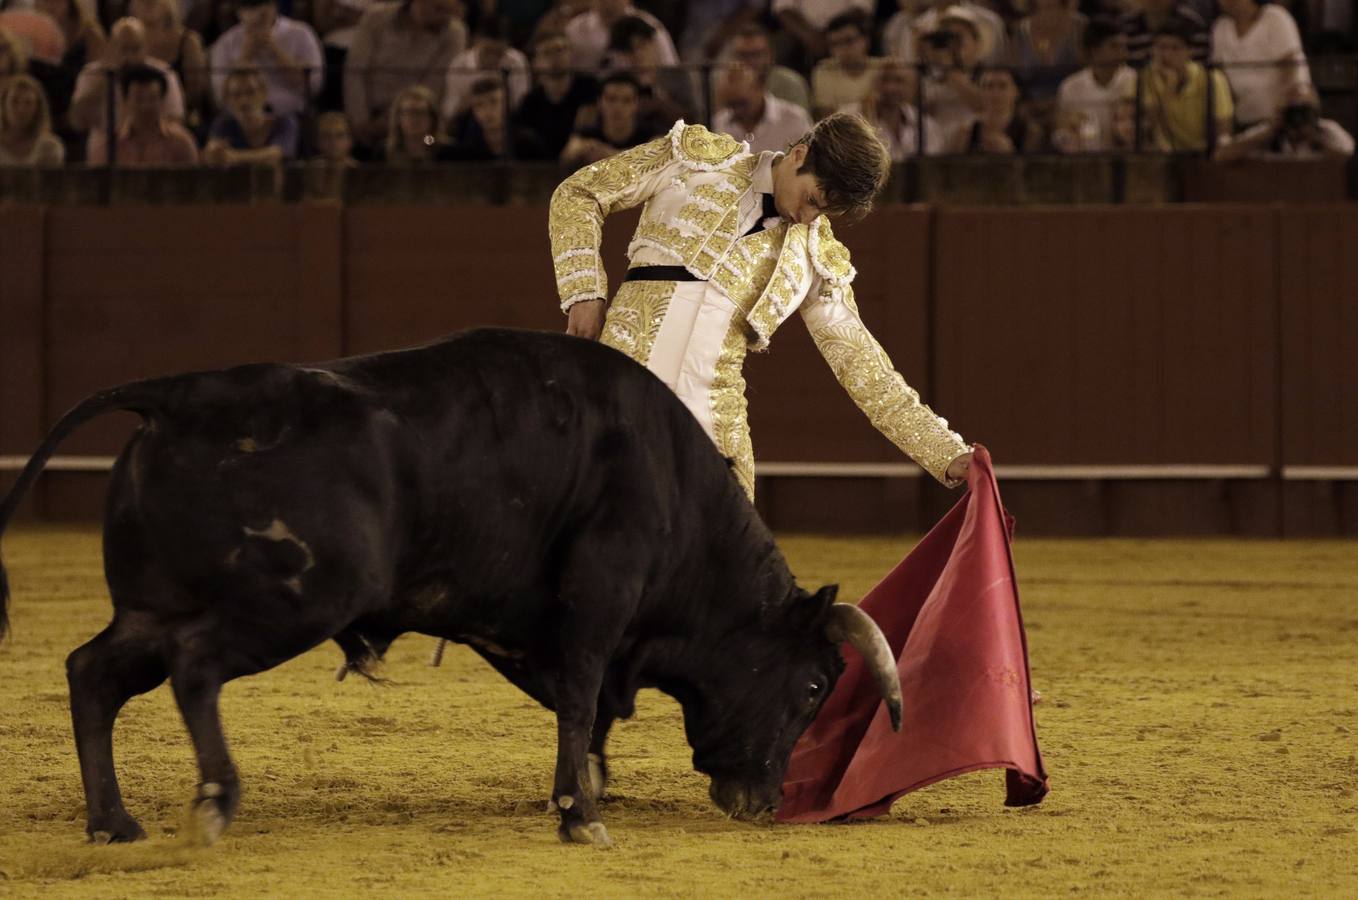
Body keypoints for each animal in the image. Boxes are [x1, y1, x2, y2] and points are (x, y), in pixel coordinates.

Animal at [0, 329, 901, 847]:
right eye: (814, 684)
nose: (767, 801)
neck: (673, 490)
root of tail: (176, 396)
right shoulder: (598, 606)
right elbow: (582, 700)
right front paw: (582, 816)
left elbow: (585, 712)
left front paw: (578, 796)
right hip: (299, 599)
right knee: (192, 667)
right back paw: (216, 801)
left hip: (151, 607)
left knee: (92, 672)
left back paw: (113, 823)